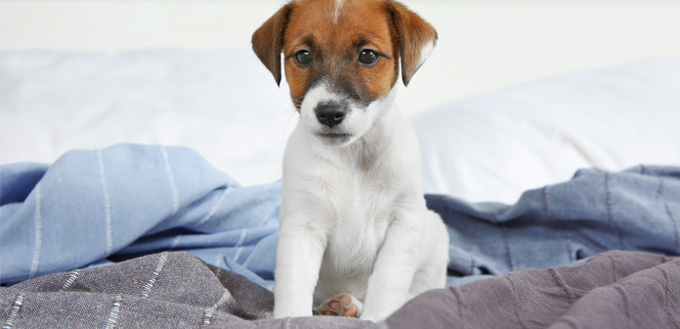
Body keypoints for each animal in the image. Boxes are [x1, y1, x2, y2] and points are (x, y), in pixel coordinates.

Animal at [252, 0, 448, 322]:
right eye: (303, 55)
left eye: (367, 55)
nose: (329, 113)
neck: (352, 159)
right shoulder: (303, 226)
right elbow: (293, 284)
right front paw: (290, 317)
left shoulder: (403, 223)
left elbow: (388, 282)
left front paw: (376, 319)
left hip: (435, 236)